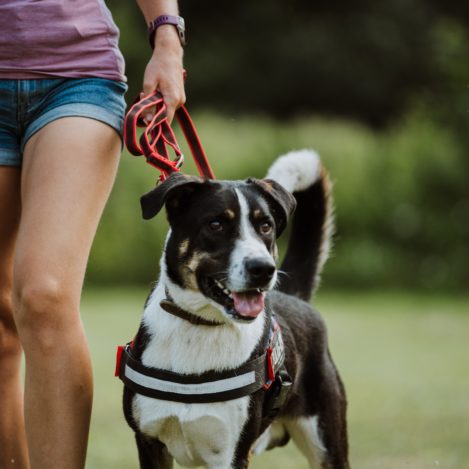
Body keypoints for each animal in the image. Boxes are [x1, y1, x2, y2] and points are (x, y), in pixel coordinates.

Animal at [118, 150, 349, 469]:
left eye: (265, 226)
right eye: (216, 224)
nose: (264, 269)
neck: (199, 324)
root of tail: (294, 297)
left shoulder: (231, 454)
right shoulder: (150, 442)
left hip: (327, 441)